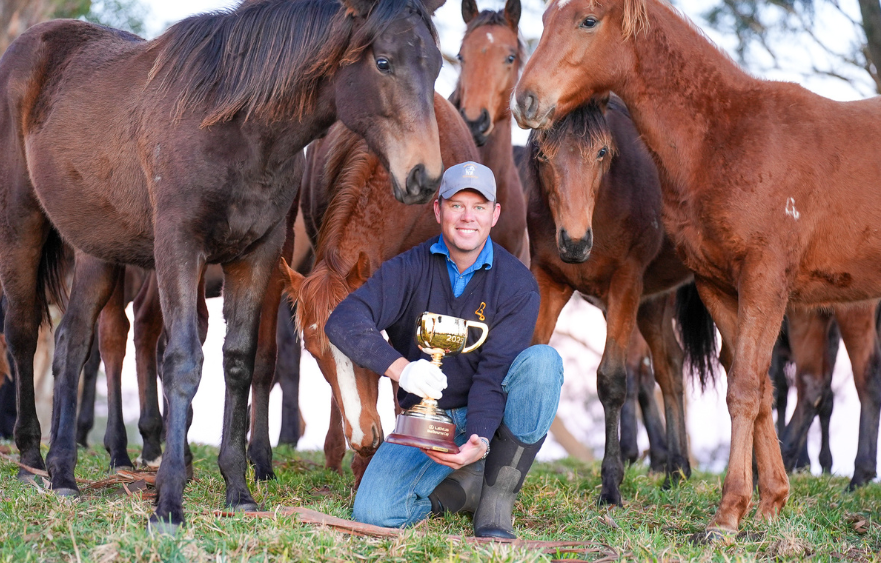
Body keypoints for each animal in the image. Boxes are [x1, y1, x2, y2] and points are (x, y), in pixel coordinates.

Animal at [0, 0, 444, 532]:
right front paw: (169, 501)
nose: (425, 176)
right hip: (23, 226)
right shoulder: (180, 248)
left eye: (436, 67)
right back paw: (30, 461)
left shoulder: (256, 257)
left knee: (73, 341)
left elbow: (239, 362)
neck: (234, 129)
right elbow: (182, 361)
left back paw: (63, 472)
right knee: (25, 334)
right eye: (383, 62)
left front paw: (238, 488)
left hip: (97, 252)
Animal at [522, 95, 716, 504]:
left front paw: (611, 485)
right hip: (654, 302)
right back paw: (677, 470)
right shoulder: (549, 280)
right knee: (670, 365)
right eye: (542, 155)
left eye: (601, 152)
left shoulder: (626, 281)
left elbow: (612, 380)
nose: (574, 242)